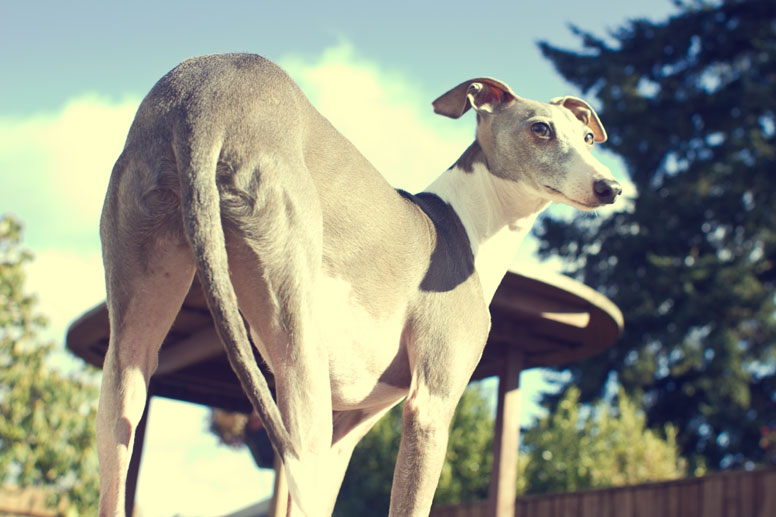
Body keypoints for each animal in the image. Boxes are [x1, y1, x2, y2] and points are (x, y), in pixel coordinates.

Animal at [95, 53, 620, 516]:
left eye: (588, 137)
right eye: (540, 129)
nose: (611, 188)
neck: (467, 225)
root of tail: (202, 98)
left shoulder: (348, 430)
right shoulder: (430, 406)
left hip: (131, 345)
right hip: (299, 360)